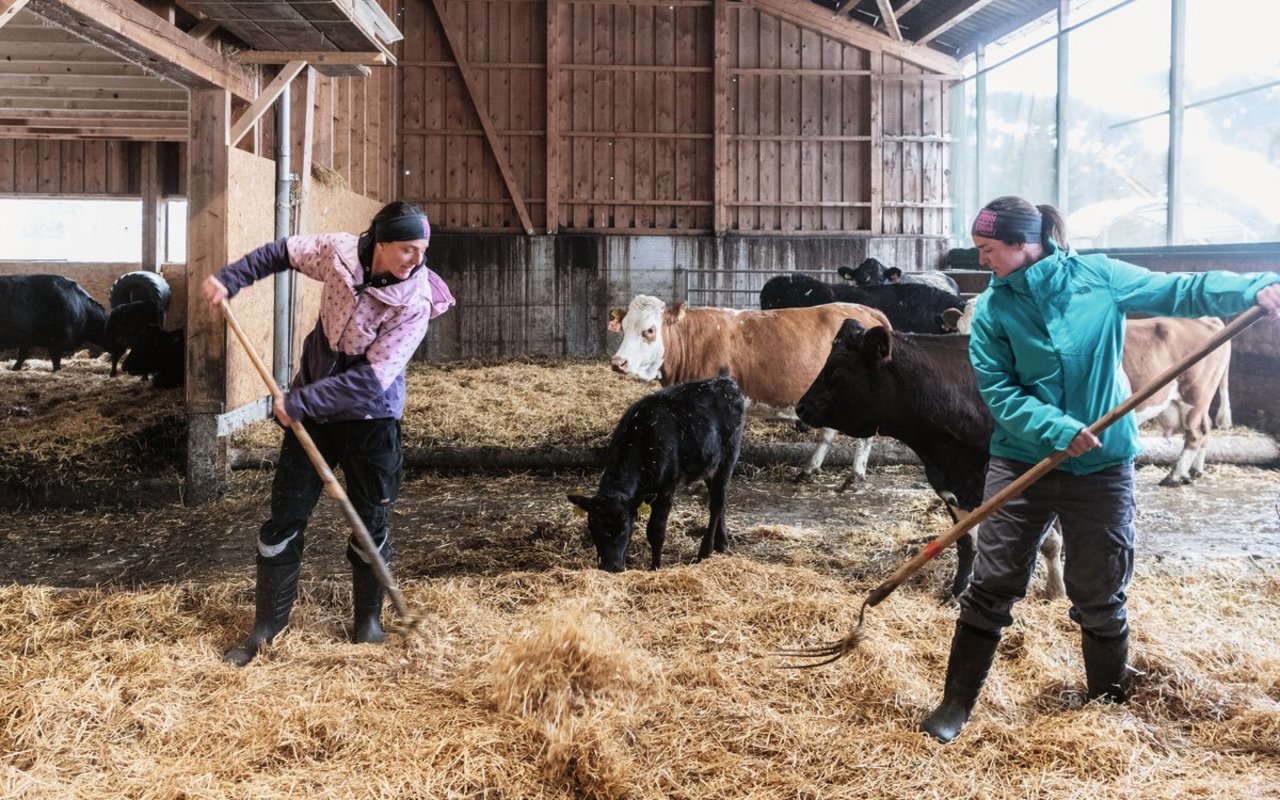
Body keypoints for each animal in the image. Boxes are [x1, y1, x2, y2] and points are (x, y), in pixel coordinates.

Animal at [565, 371, 747, 570]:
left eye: (624, 528)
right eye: (592, 528)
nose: (611, 567)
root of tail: (726, 382)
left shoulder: (666, 489)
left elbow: (656, 531)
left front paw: (655, 567)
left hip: (728, 458)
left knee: (717, 503)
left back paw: (705, 551)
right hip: (708, 464)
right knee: (721, 498)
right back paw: (722, 543)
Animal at [609, 296, 890, 476]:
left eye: (649, 330)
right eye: (623, 327)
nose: (618, 362)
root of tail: (866, 309)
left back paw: (855, 476)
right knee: (829, 433)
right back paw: (809, 471)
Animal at [793, 321, 1064, 596]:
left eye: (837, 370)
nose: (801, 407)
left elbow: (1049, 540)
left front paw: (1055, 590)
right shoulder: (948, 483)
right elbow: (966, 541)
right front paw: (958, 590)